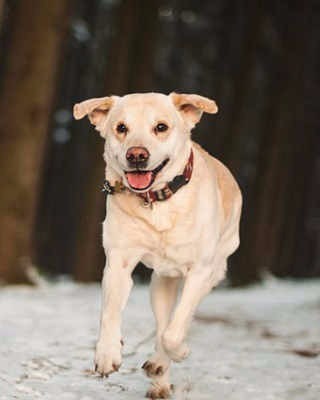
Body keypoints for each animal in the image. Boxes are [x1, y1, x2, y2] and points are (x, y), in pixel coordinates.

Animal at [74, 93, 241, 396]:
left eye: (161, 127)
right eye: (121, 128)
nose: (136, 155)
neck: (157, 201)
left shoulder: (200, 271)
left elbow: (175, 332)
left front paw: (181, 351)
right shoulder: (118, 264)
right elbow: (110, 313)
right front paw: (107, 354)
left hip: (214, 270)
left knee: (175, 324)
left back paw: (162, 363)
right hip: (161, 283)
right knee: (163, 322)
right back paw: (160, 374)